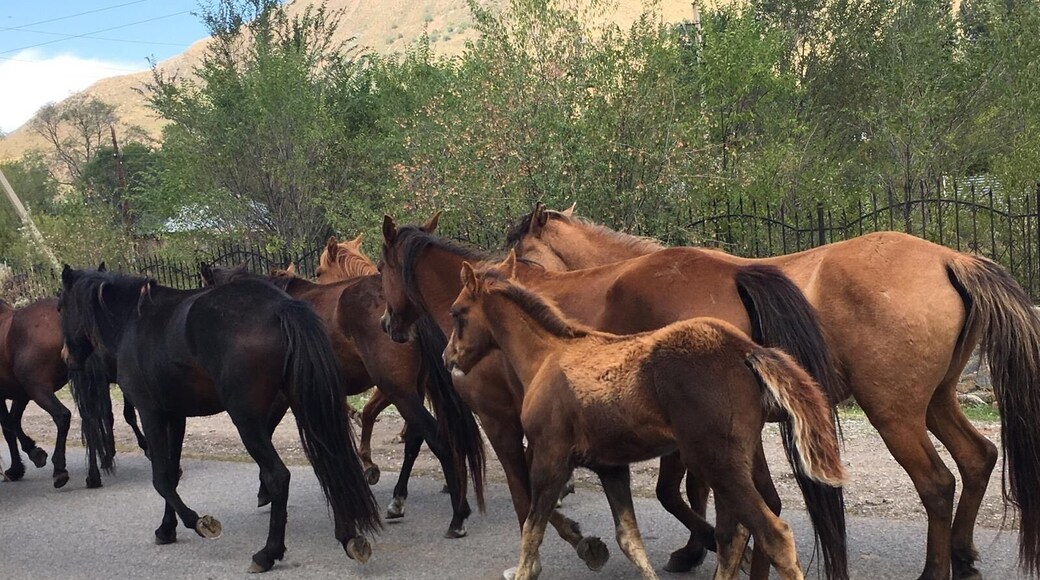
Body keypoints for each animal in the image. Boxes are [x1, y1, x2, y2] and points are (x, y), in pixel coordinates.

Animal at [1, 295, 147, 489]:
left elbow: (8, 426)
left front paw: (22, 463)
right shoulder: (21, 393)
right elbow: (13, 422)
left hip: (39, 388)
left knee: (63, 416)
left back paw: (61, 470)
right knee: (91, 420)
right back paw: (94, 475)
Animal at [58, 266, 381, 572]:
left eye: (60, 307)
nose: (65, 357)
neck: (133, 321)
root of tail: (280, 307)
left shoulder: (150, 413)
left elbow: (161, 478)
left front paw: (198, 522)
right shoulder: (175, 416)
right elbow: (172, 473)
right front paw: (166, 529)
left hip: (247, 420)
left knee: (278, 476)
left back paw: (267, 553)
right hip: (304, 404)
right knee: (331, 462)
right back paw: (349, 537)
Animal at [201, 261, 484, 539]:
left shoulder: (280, 399)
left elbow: (267, 434)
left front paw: (265, 490)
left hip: (398, 390)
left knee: (437, 439)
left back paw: (457, 516)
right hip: (412, 390)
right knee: (415, 439)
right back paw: (398, 500)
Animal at [379, 214, 850, 580]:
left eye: (381, 269)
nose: (387, 324)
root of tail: (735, 273)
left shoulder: (501, 422)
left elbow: (525, 498)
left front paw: (574, 544)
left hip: (708, 448)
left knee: (740, 512)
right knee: (759, 506)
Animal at [505, 202, 1040, 580]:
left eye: (525, 258)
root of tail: (950, 258)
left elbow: (676, 493)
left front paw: (710, 548)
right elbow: (697, 494)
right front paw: (699, 550)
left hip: (895, 414)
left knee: (937, 484)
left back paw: (935, 569)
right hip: (936, 403)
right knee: (977, 458)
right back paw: (962, 555)